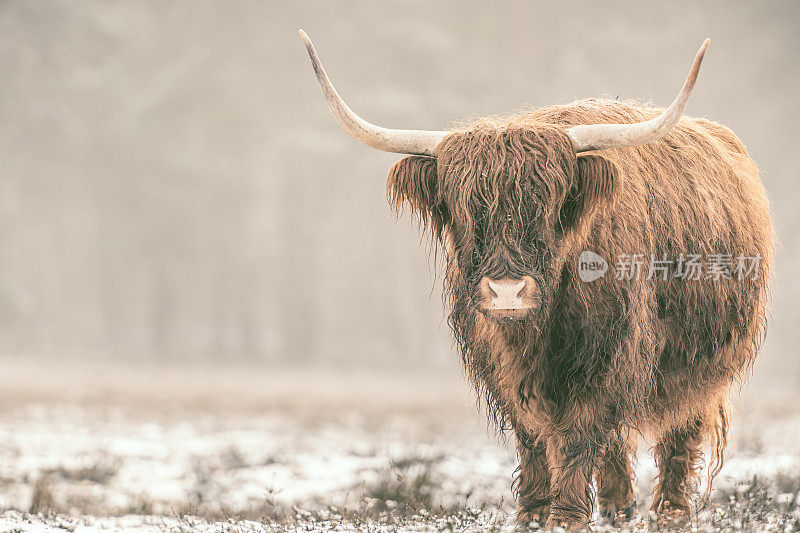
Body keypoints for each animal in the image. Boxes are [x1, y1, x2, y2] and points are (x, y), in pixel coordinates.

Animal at [298, 33, 768, 528]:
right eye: (465, 211)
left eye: (547, 207)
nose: (507, 292)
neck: (536, 333)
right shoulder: (501, 366)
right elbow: (532, 436)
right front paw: (532, 512)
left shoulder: (603, 355)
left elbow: (581, 431)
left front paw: (565, 516)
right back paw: (618, 508)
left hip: (705, 361)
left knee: (681, 431)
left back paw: (670, 514)